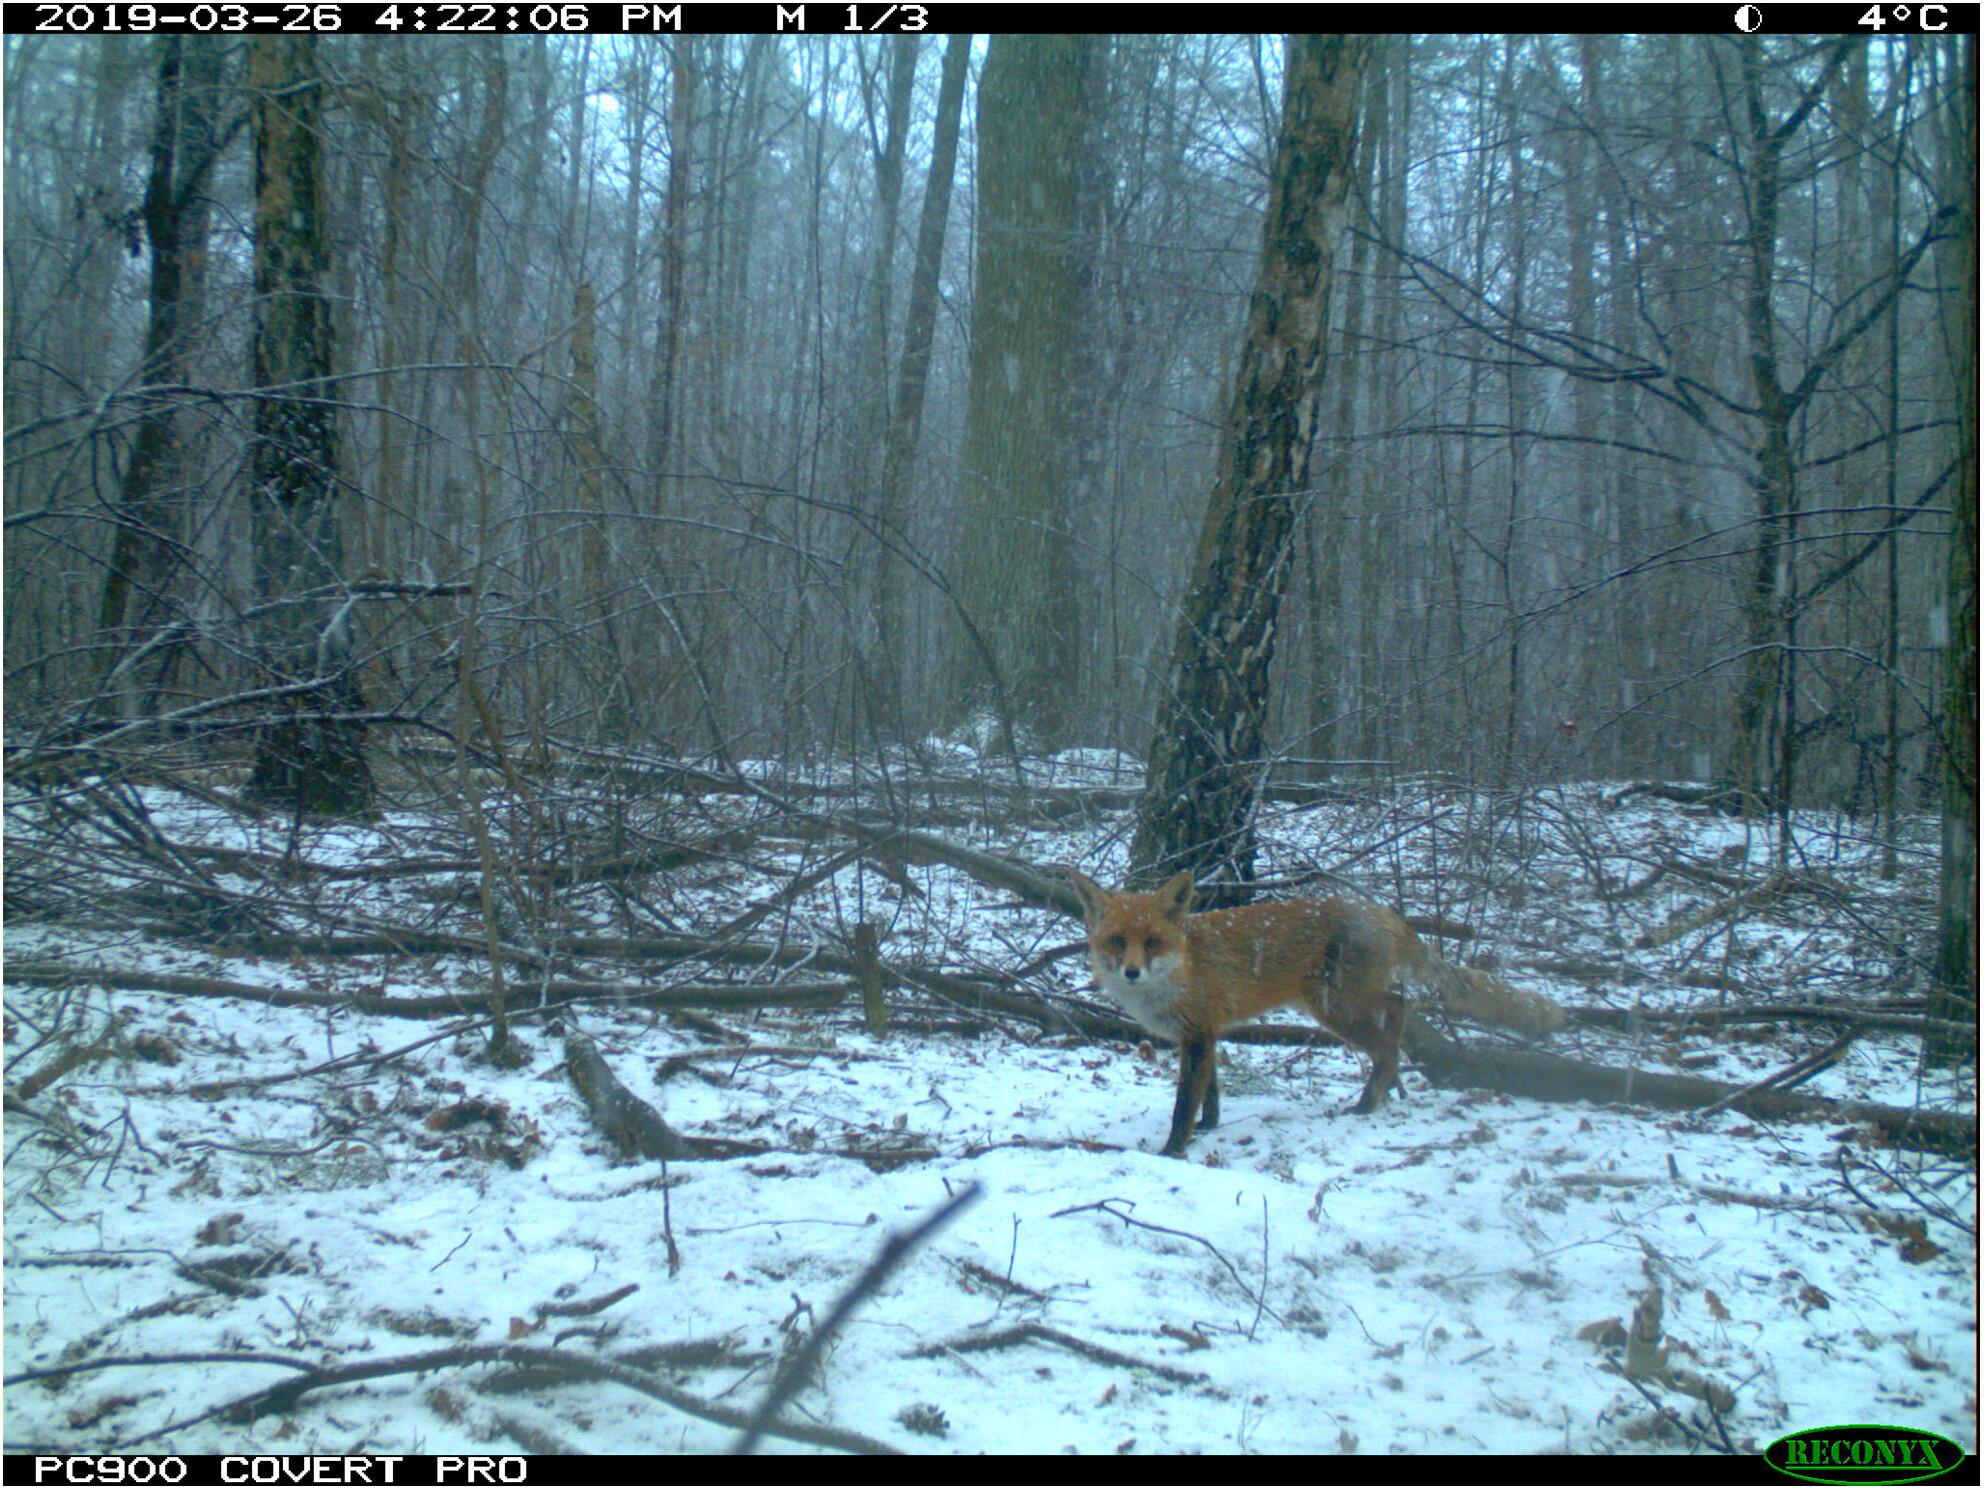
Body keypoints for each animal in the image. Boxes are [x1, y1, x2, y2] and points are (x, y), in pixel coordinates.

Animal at [1071, 869, 1563, 1158]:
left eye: (1152, 942)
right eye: (1118, 941)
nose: (1132, 971)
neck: (1181, 970)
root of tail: (1383, 912)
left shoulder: (1196, 1034)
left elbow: (1183, 1103)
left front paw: (1173, 1151)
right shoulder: (1204, 1033)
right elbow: (1209, 1093)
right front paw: (1209, 1127)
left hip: (1336, 1010)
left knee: (1387, 1041)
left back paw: (1368, 1103)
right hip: (1345, 1003)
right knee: (1399, 1003)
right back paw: (1388, 1087)